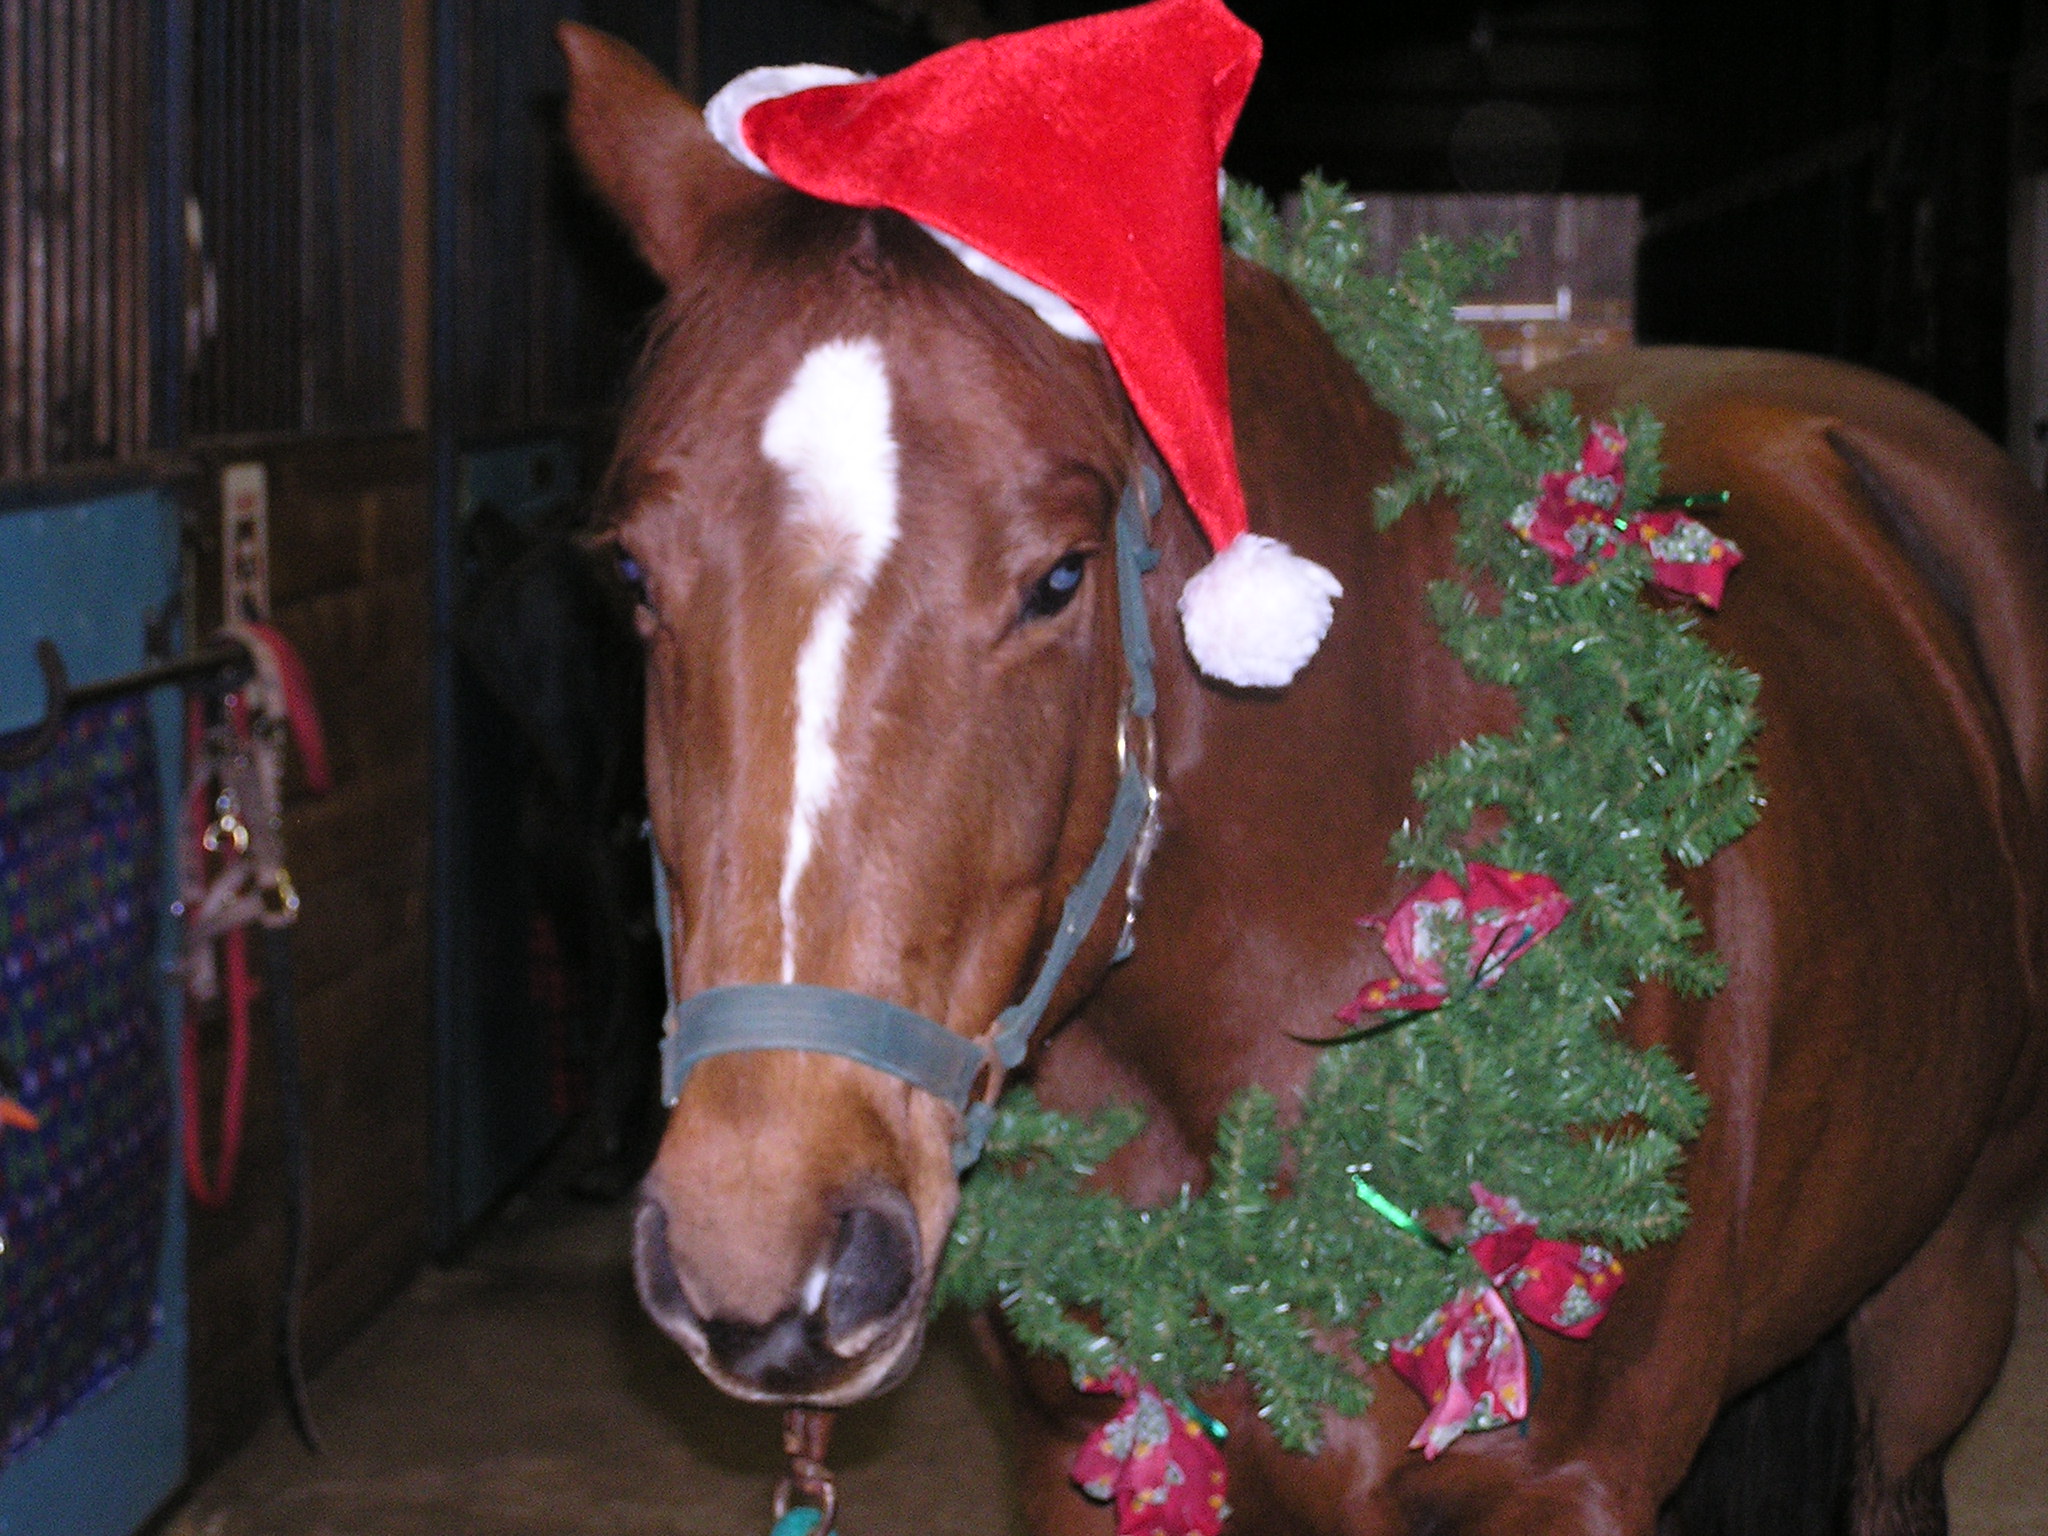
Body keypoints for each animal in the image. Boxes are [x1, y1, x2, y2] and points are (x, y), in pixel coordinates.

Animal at [557, 25, 2048, 1535]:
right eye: (629, 569)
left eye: (1058, 578)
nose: (762, 1256)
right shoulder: (1083, 1473)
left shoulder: (1576, 1484)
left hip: (1941, 1300)